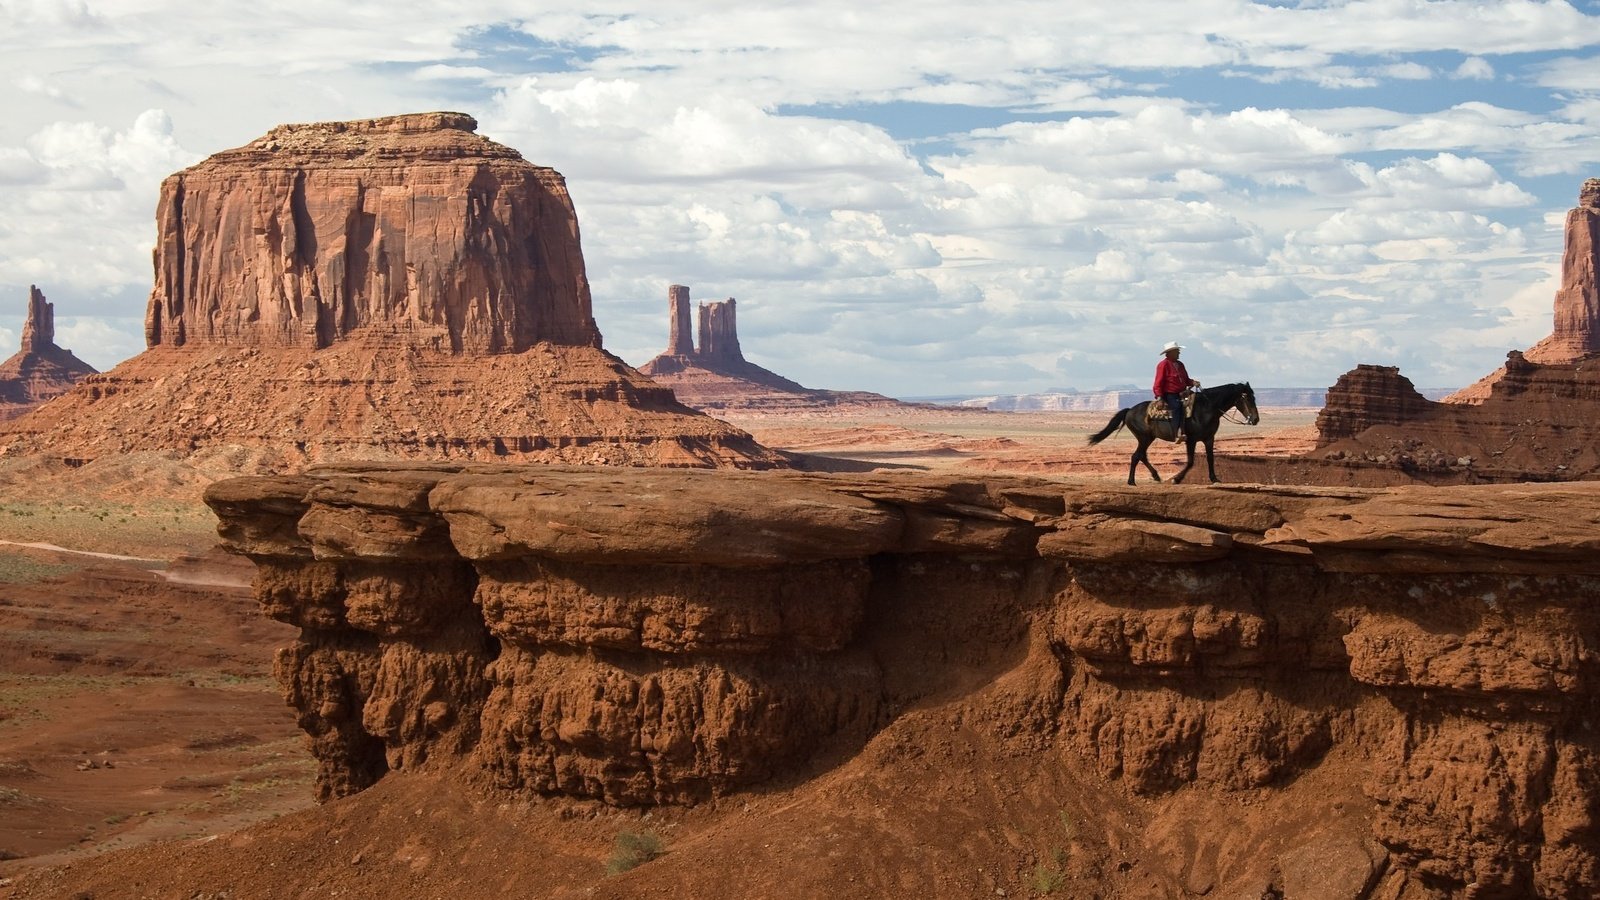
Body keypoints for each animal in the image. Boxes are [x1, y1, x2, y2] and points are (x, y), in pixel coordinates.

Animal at [1088, 384, 1260, 486]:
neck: (1207, 408)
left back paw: (1155, 476)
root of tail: (1129, 410)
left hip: (1149, 438)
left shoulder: (1209, 439)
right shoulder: (1191, 440)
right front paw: (1177, 479)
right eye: (1247, 398)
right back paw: (1131, 481)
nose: (1256, 419)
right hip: (1144, 438)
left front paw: (1214, 479)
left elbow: (1211, 458)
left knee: (1141, 455)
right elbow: (1190, 462)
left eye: (1254, 397)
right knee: (1136, 456)